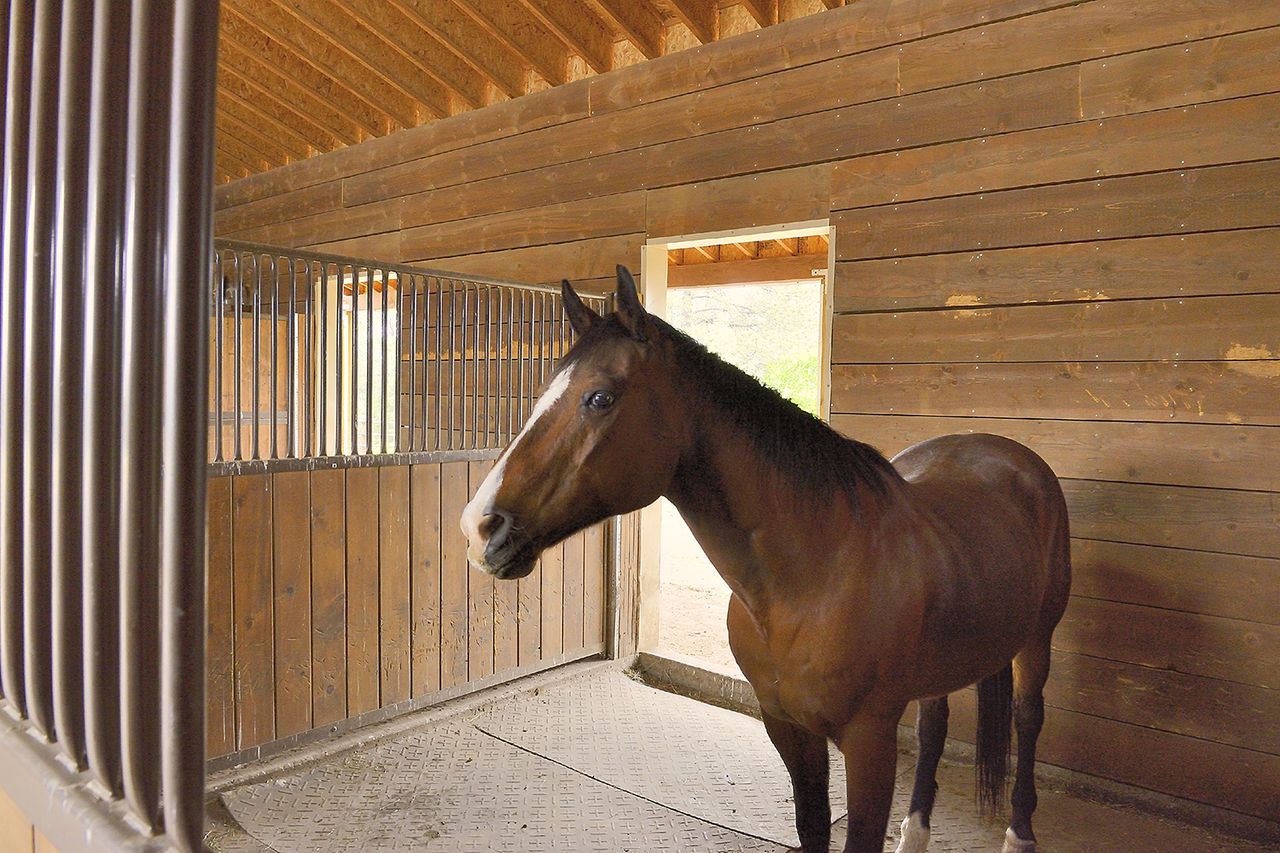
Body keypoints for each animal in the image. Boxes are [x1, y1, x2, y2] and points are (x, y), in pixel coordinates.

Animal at [460, 266, 1071, 853]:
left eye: (600, 398)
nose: (478, 527)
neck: (812, 579)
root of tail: (1008, 455)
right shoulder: (787, 727)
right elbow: (813, 828)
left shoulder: (869, 741)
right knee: (935, 726)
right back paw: (915, 834)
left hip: (1037, 641)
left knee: (1028, 719)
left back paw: (1019, 835)